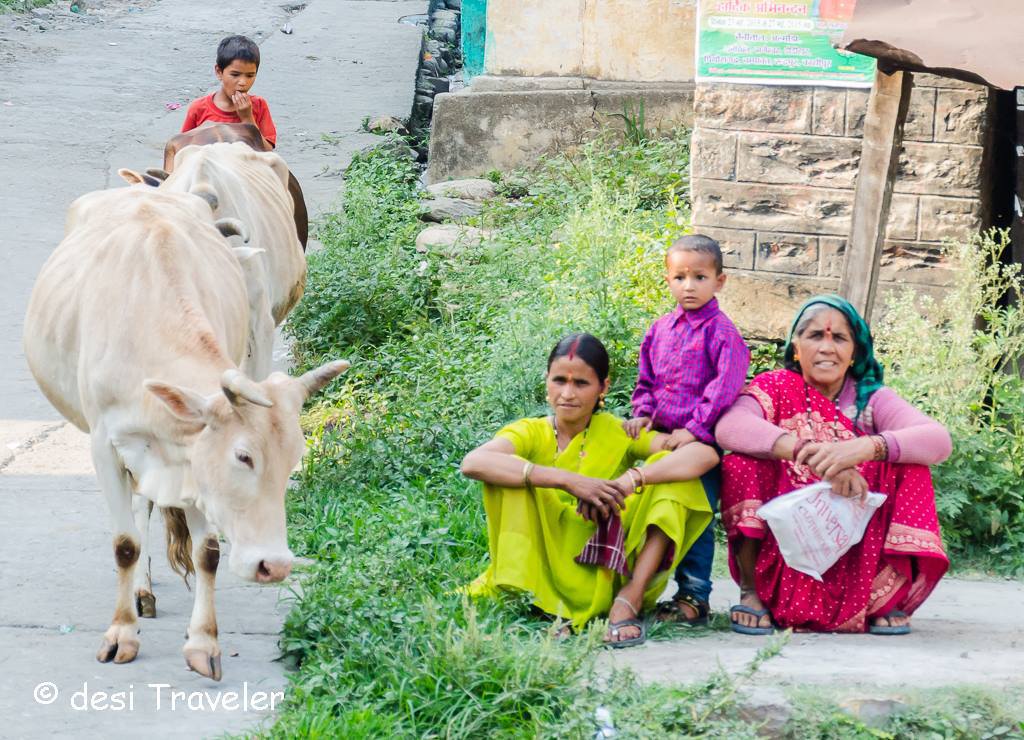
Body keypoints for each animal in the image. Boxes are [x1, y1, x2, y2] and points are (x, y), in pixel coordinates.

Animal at [20, 182, 344, 679]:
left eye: (294, 461)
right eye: (243, 456)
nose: (273, 566)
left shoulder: (192, 456)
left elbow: (206, 552)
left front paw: (203, 643)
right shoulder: (103, 445)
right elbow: (125, 545)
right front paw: (122, 634)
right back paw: (141, 591)